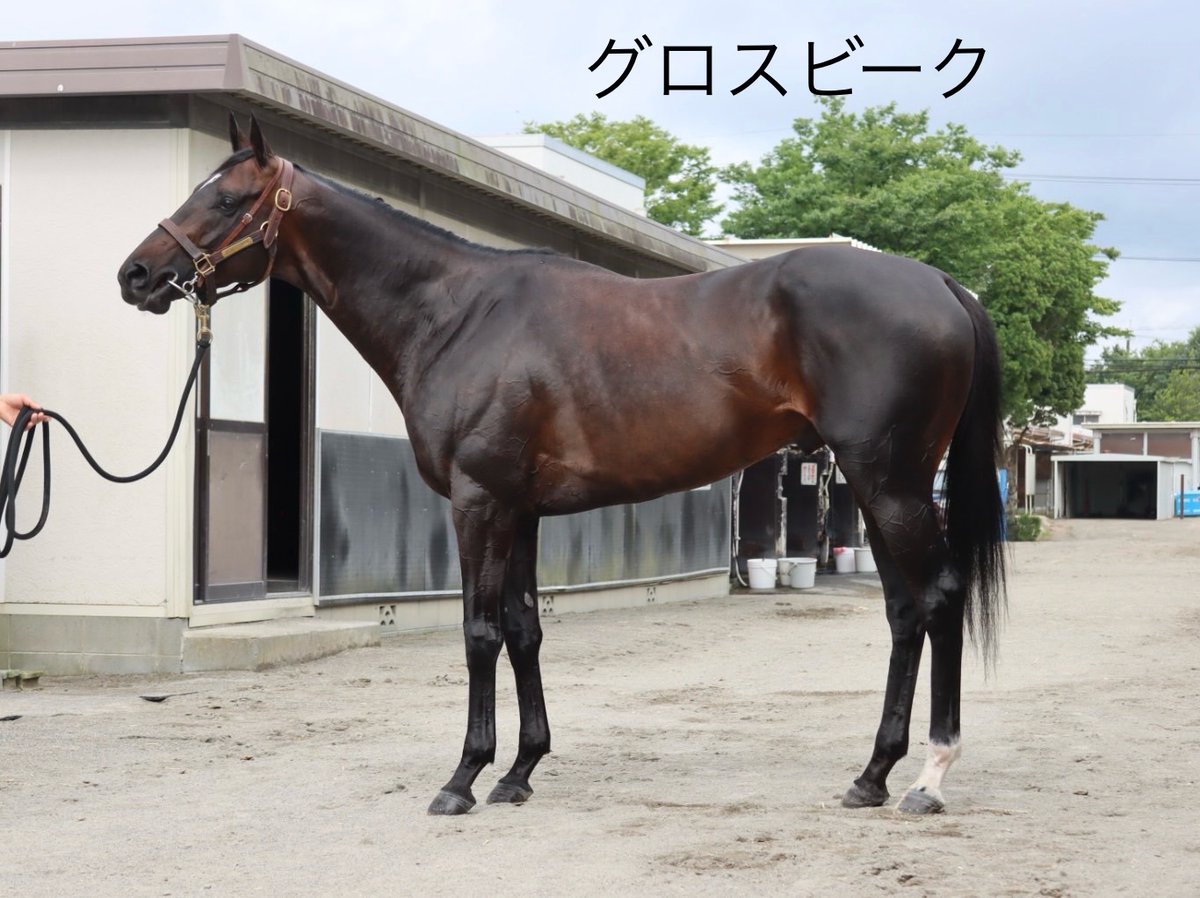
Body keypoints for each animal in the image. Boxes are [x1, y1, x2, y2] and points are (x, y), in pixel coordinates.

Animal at [118, 115, 1005, 817]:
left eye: (226, 199)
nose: (136, 274)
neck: (456, 314)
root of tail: (942, 284)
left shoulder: (478, 501)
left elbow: (479, 632)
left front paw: (463, 779)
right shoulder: (521, 508)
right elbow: (524, 629)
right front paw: (519, 772)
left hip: (890, 484)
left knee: (939, 596)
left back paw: (929, 777)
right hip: (878, 486)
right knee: (904, 612)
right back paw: (872, 775)